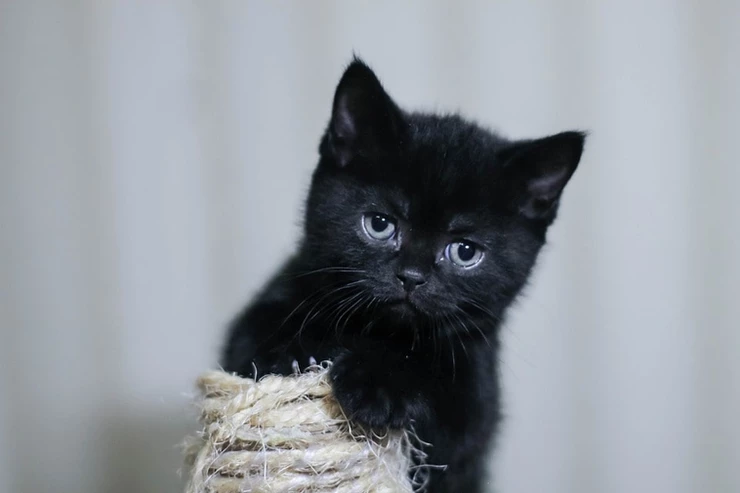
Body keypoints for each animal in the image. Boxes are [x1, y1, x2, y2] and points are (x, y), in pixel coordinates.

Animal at [220, 60, 584, 492]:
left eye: (465, 251)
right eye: (380, 224)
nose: (411, 276)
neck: (378, 331)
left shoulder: (474, 401)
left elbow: (443, 404)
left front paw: (379, 385)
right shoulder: (270, 303)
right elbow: (252, 338)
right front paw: (291, 349)